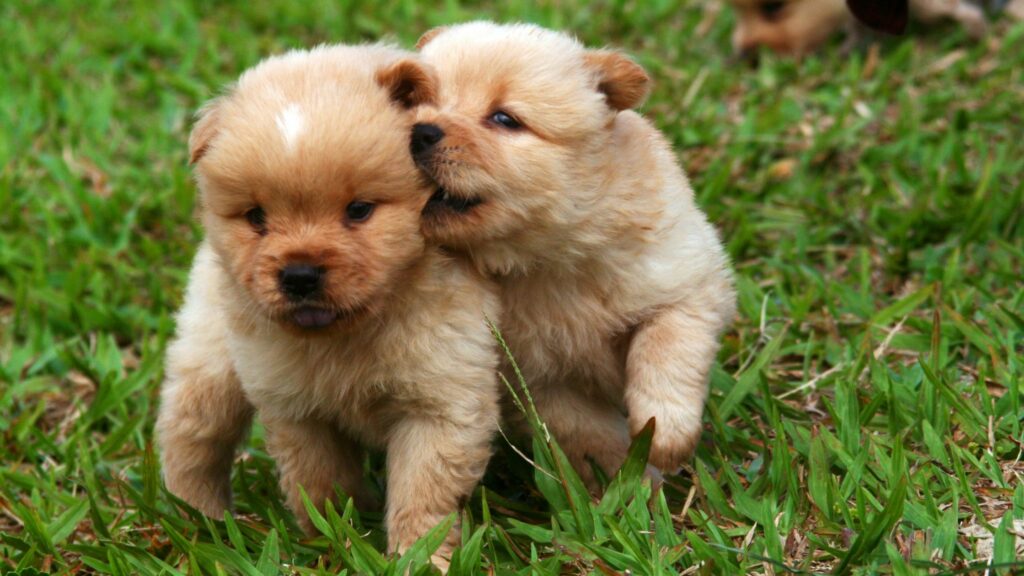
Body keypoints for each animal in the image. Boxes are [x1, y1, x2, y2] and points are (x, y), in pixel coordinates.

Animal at [154, 45, 499, 565]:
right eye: (257, 217)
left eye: (358, 210)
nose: (299, 275)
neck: (350, 337)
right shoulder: (297, 409)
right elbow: (320, 485)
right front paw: (334, 542)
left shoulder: (441, 404)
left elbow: (422, 497)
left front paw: (420, 558)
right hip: (212, 360)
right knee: (191, 436)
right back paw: (197, 527)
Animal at [407, 23, 737, 483]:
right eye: (415, 101)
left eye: (504, 119)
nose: (419, 131)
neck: (547, 262)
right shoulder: (536, 377)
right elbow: (589, 432)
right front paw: (630, 482)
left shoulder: (687, 283)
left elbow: (665, 350)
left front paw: (664, 437)